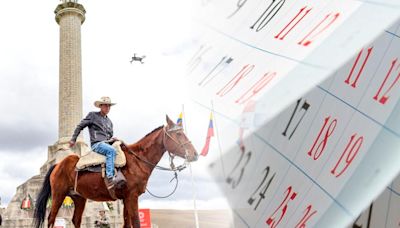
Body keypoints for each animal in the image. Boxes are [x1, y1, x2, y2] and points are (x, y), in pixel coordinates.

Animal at [33, 116, 198, 228]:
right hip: (58, 195)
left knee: (76, 219)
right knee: (51, 218)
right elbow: (135, 223)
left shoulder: (126, 198)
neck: (136, 160)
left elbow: (126, 223)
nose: (195, 154)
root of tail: (58, 164)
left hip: (79, 198)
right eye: (178, 134)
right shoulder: (132, 196)